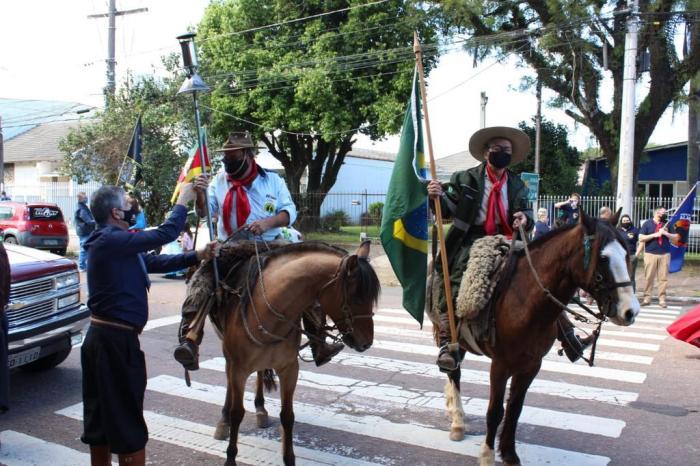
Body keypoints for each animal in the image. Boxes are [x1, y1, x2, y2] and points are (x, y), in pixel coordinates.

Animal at [202, 242, 380, 464]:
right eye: (356, 296)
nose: (367, 343)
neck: (268, 310)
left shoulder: (289, 369)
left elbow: (287, 416)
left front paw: (289, 458)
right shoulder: (239, 369)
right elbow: (237, 413)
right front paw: (230, 457)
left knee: (259, 373)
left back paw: (260, 409)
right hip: (230, 358)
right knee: (229, 382)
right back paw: (224, 421)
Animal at [426, 208, 640, 466]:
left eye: (626, 254)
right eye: (603, 258)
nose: (630, 311)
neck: (526, 301)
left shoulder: (531, 365)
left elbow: (515, 409)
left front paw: (509, 454)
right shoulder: (500, 366)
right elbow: (495, 411)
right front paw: (488, 455)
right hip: (452, 335)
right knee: (453, 372)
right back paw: (457, 421)